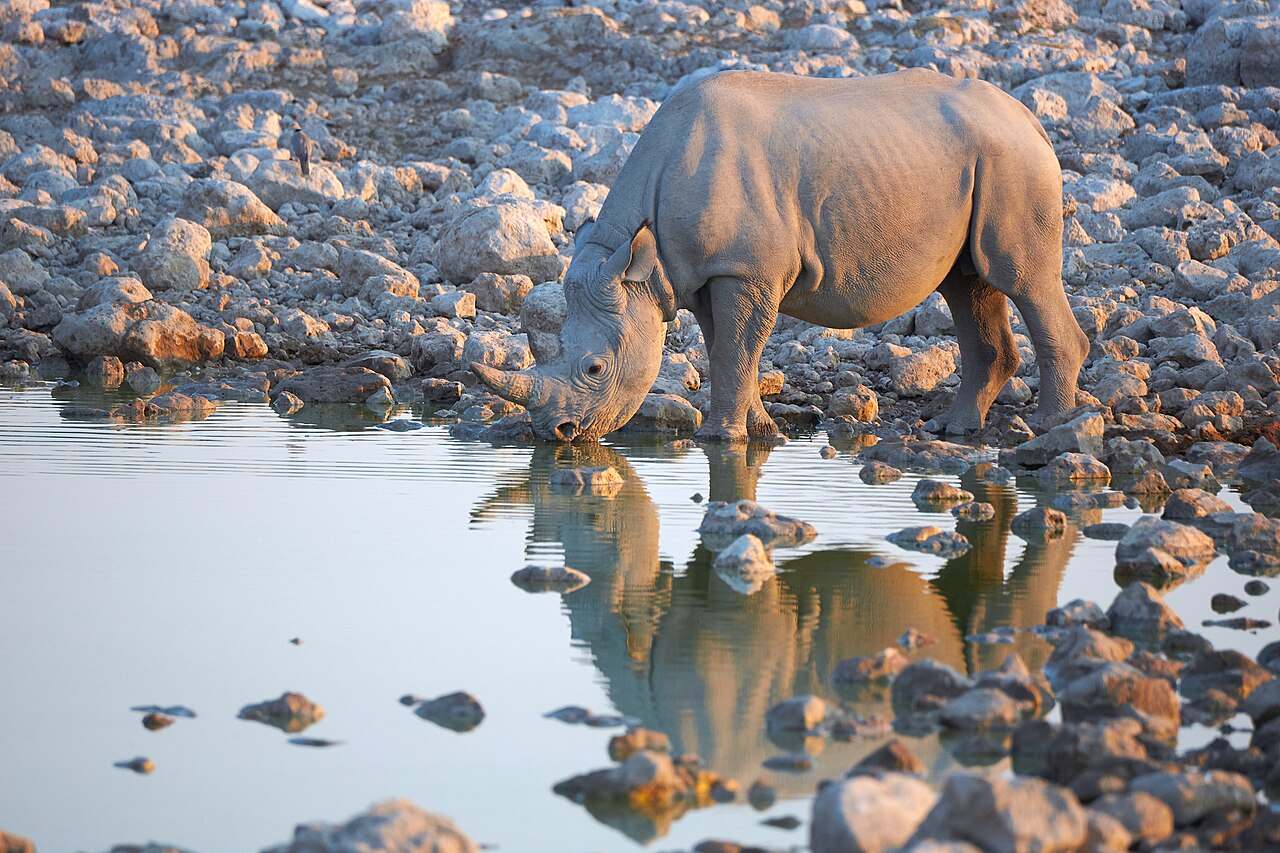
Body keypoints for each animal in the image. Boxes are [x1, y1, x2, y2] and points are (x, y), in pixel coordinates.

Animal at [473, 68, 1090, 442]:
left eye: (595, 369)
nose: (556, 435)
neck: (638, 259)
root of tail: (1030, 118)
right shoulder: (704, 275)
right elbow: (729, 351)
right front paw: (761, 433)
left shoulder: (745, 270)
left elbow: (735, 350)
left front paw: (718, 439)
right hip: (981, 160)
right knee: (968, 283)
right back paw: (956, 430)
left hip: (1013, 160)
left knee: (1020, 278)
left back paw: (1052, 426)